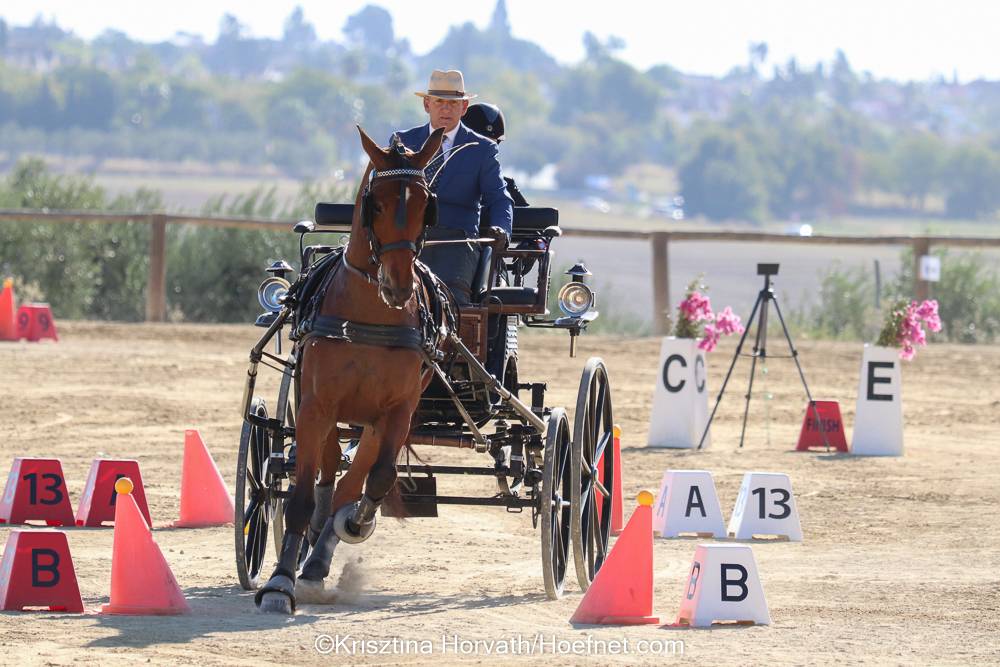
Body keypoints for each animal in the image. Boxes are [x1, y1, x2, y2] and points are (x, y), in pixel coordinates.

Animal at [256, 125, 445, 613]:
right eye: (374, 203)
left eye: (426, 205)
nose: (398, 285)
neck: (369, 317)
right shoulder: (316, 407)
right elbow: (302, 497)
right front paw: (280, 583)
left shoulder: (395, 412)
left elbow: (374, 480)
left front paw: (355, 523)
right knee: (323, 477)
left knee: (349, 482)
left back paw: (320, 558)